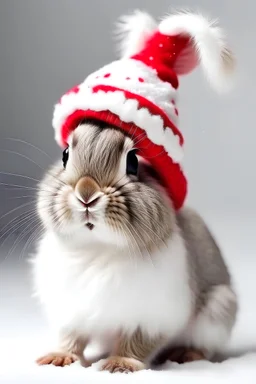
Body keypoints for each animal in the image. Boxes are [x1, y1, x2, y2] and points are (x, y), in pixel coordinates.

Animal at [32, 121, 238, 372]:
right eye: (65, 155)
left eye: (133, 162)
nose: (86, 193)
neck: (99, 246)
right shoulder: (70, 315)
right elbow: (71, 339)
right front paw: (58, 358)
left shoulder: (149, 319)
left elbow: (136, 343)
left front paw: (119, 365)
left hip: (218, 309)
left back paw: (186, 354)